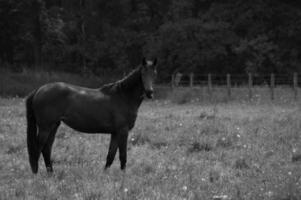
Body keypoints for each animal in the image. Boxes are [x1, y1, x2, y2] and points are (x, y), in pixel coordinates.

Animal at [25, 57, 157, 173]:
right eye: (143, 73)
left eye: (154, 73)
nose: (150, 92)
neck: (123, 96)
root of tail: (39, 90)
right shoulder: (123, 131)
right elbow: (123, 156)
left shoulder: (115, 133)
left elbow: (110, 156)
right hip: (45, 127)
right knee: (38, 150)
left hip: (54, 126)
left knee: (46, 149)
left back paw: (51, 173)